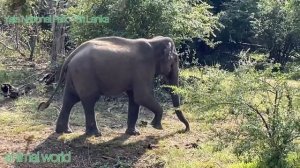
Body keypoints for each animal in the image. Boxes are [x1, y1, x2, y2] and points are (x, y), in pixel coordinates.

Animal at [38, 36, 190, 136]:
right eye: (175, 60)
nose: (185, 129)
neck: (153, 42)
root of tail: (71, 55)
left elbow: (134, 98)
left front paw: (134, 133)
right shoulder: (143, 69)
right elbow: (142, 96)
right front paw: (157, 127)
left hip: (73, 75)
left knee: (70, 99)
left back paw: (64, 131)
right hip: (84, 75)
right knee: (89, 100)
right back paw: (95, 134)